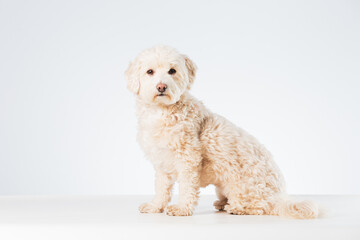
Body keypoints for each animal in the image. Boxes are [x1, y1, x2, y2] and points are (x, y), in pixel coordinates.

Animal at [124, 44, 318, 218]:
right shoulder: (161, 162)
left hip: (246, 188)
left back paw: (237, 208)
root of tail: (280, 197)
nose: (161, 87)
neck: (161, 112)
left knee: (261, 207)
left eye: (172, 71)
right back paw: (223, 203)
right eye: (150, 72)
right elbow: (161, 188)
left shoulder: (188, 158)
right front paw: (155, 206)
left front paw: (182, 208)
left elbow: (186, 186)